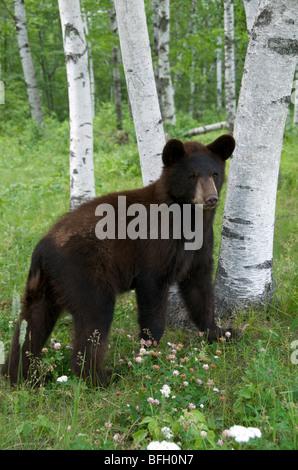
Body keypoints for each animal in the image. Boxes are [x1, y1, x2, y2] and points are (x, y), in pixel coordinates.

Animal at [2, 134, 235, 384]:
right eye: (192, 176)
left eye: (215, 173)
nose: (211, 198)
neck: (188, 219)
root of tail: (42, 249)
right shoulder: (154, 248)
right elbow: (152, 294)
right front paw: (150, 351)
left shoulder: (200, 247)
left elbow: (199, 288)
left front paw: (219, 333)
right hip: (84, 274)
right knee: (95, 318)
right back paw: (99, 376)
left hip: (43, 287)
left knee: (32, 322)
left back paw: (19, 374)